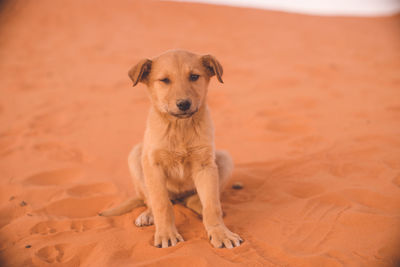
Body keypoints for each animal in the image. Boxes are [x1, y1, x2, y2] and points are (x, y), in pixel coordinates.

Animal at [101, 49, 242, 249]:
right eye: (164, 80)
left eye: (194, 76)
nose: (183, 104)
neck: (179, 127)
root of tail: (178, 196)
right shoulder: (153, 164)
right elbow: (161, 204)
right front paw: (166, 234)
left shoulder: (205, 165)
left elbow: (212, 205)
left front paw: (220, 232)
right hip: (136, 155)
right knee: (151, 200)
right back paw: (147, 215)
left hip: (224, 158)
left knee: (194, 200)